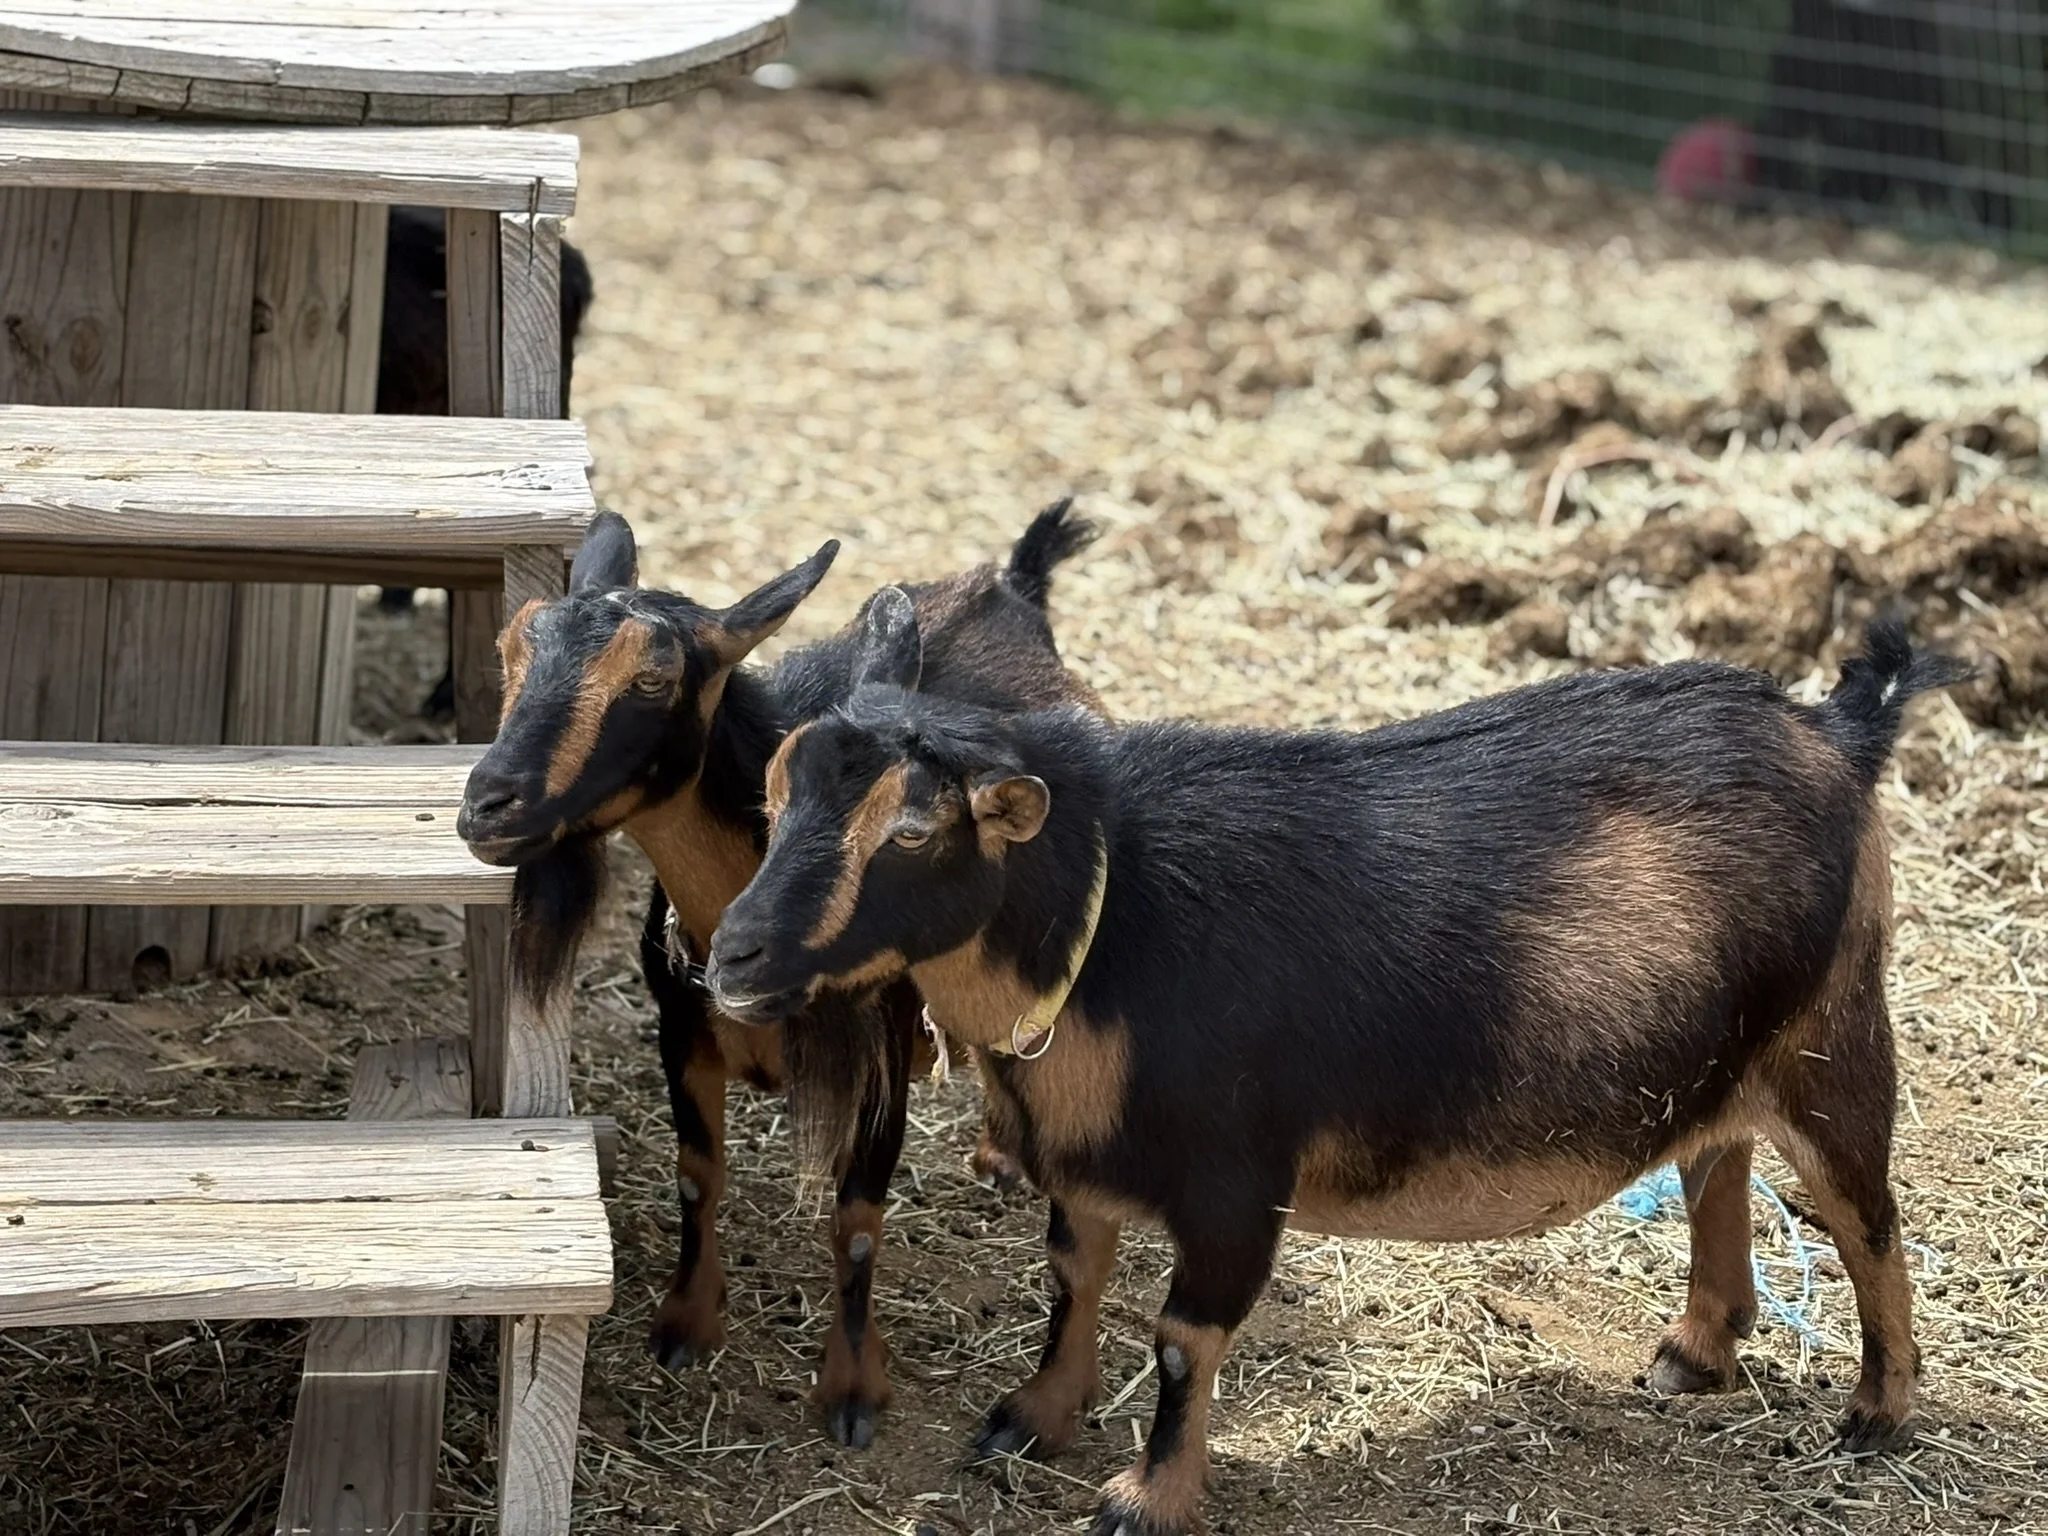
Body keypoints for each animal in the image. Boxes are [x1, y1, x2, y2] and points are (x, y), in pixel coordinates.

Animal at [456, 502, 1097, 1447]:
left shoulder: (880, 1060)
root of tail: (1010, 587)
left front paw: (852, 1392)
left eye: (653, 678)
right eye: (511, 647)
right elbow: (698, 1174)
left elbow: (857, 1223)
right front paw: (687, 1323)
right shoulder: (680, 1031)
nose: (486, 806)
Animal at [708, 614, 1965, 1536]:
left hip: (1830, 1036)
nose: (730, 958)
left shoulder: (1235, 1183)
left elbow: (1181, 1338)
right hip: (1714, 1053)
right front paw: (1027, 1422)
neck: (1112, 925)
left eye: (913, 833)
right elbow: (1072, 1284)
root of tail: (1839, 731)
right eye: (770, 791)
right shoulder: (1082, 1165)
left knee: (1867, 1220)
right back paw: (1693, 1352)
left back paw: (1874, 1415)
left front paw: (1144, 1501)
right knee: (1715, 1162)